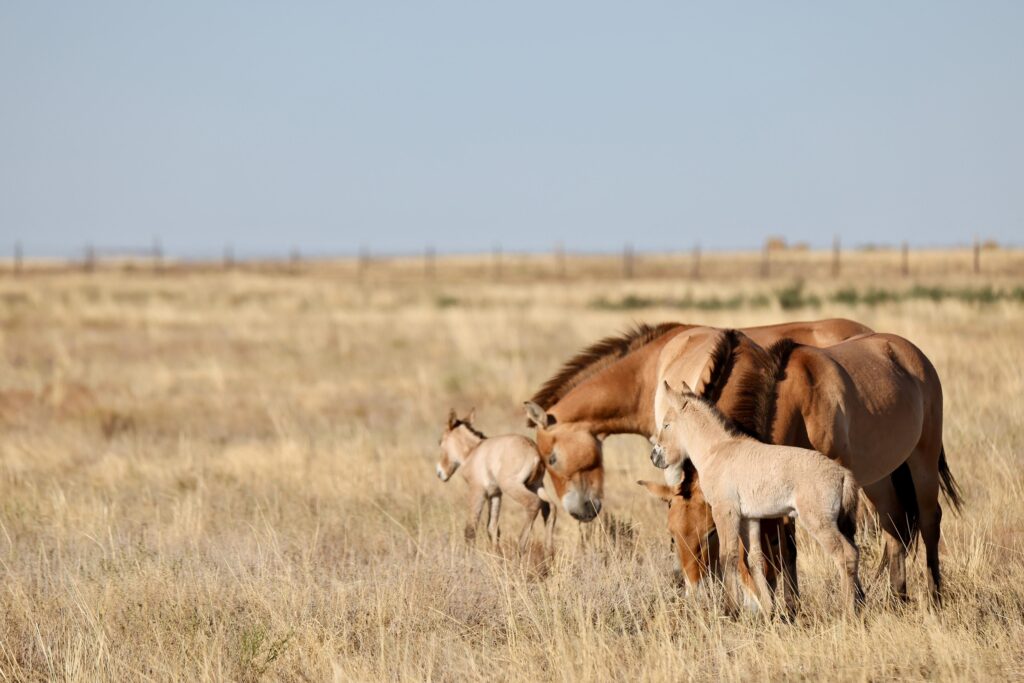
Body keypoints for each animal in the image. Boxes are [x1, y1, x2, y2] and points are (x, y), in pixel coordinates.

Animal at [437, 409, 556, 552]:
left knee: (533, 503)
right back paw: (549, 553)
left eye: (440, 441)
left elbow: (471, 529)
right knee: (550, 507)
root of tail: (534, 452)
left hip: (513, 486)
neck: (473, 450)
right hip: (535, 486)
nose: (440, 473)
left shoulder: (477, 491)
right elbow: (492, 528)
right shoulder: (495, 494)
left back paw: (521, 548)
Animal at [650, 380, 864, 613]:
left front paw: (731, 610)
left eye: (667, 425)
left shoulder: (725, 511)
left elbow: (728, 556)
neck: (716, 451)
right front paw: (768, 611)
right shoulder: (749, 517)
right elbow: (754, 558)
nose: (655, 457)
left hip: (819, 522)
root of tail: (843, 474)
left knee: (845, 555)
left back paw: (847, 612)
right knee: (854, 552)